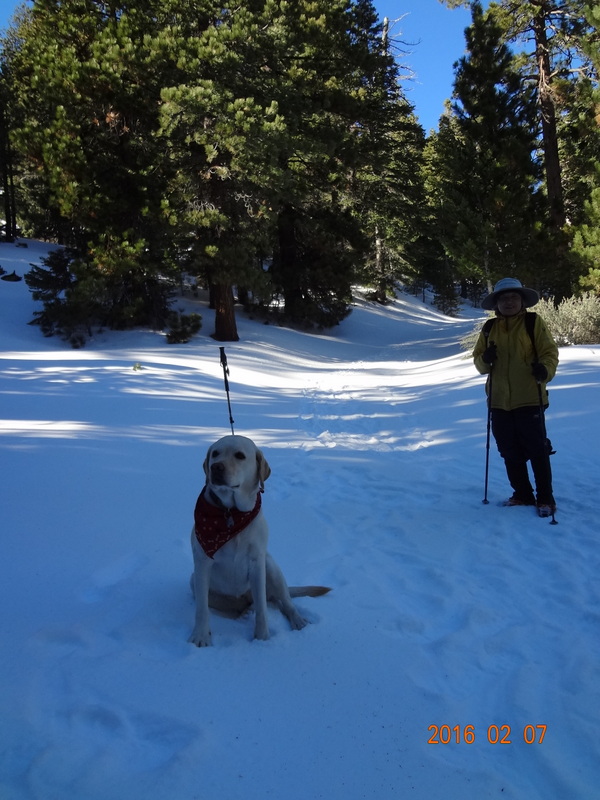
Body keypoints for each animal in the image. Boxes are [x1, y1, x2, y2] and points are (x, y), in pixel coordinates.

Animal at [190, 434, 330, 648]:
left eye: (240, 456)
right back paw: (245, 612)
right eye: (215, 454)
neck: (231, 514)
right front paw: (201, 636)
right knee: (238, 607)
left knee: (283, 603)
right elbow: (201, 610)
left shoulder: (257, 563)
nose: (216, 467)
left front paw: (262, 637)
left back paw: (297, 620)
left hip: (271, 567)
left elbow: (263, 609)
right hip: (194, 582)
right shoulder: (202, 563)